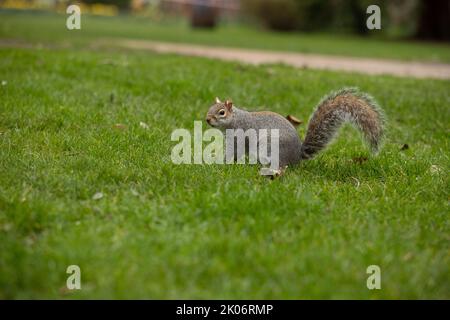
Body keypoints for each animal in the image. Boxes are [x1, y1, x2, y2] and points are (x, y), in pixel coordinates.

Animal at [206, 87, 384, 176]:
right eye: (210, 108)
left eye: (221, 112)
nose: (207, 119)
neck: (235, 119)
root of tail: (296, 156)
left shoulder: (240, 136)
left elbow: (234, 151)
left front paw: (221, 162)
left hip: (269, 147)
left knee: (281, 165)